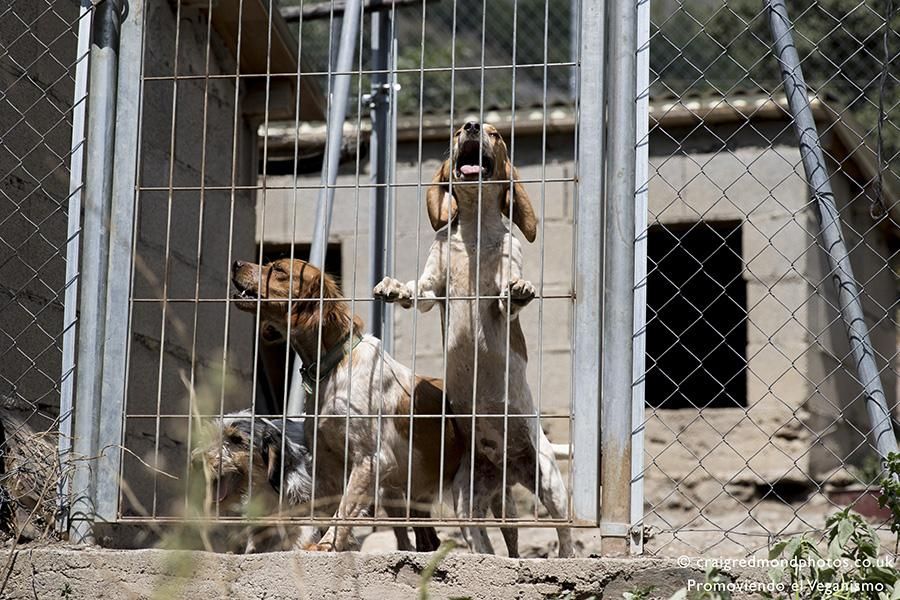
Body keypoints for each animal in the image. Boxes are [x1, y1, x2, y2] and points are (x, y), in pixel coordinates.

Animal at [229, 258, 464, 552]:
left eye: (279, 270)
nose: (236, 263)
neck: (332, 366)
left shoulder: (371, 460)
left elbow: (344, 510)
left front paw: (327, 546)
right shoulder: (326, 464)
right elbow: (325, 511)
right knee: (428, 539)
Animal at [374, 120, 572, 556]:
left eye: (496, 134)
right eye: (454, 131)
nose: (472, 126)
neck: (476, 232)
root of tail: (508, 468)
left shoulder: (500, 289)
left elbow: (507, 296)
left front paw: (521, 290)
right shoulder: (433, 286)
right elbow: (417, 292)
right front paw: (393, 288)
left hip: (550, 482)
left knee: (564, 531)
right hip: (468, 500)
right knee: (488, 543)